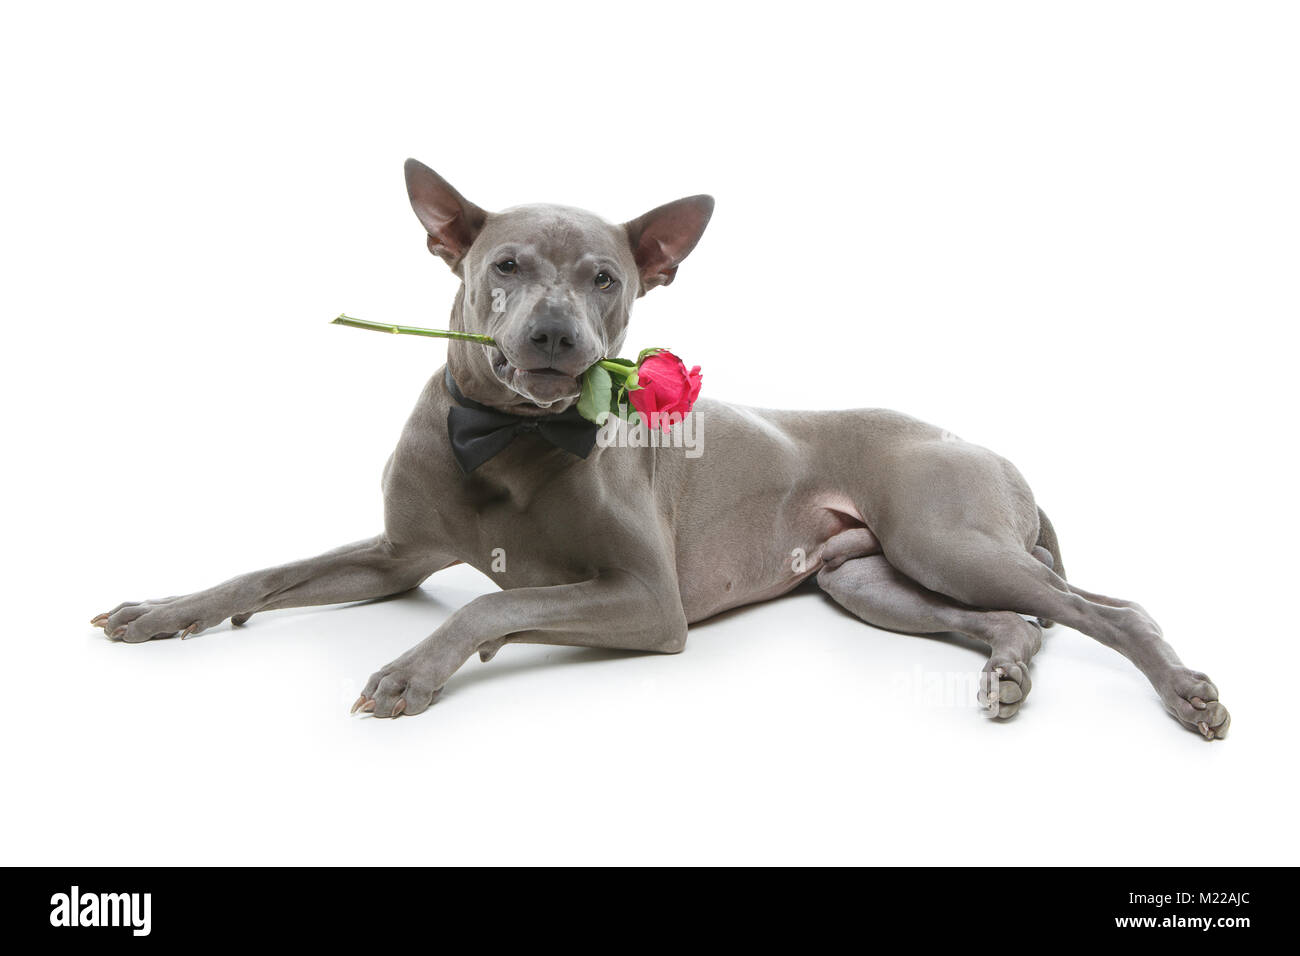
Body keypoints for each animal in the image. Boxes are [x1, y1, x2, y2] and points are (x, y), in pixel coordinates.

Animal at [91, 158, 1227, 738]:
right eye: (505, 264)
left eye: (606, 276)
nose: (556, 337)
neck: (506, 437)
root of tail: (983, 444)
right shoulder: (392, 556)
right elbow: (264, 571)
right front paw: (164, 610)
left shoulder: (649, 599)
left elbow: (494, 603)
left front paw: (417, 668)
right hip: (868, 578)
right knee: (1018, 621)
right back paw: (1007, 673)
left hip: (946, 535)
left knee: (1107, 610)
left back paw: (1183, 692)